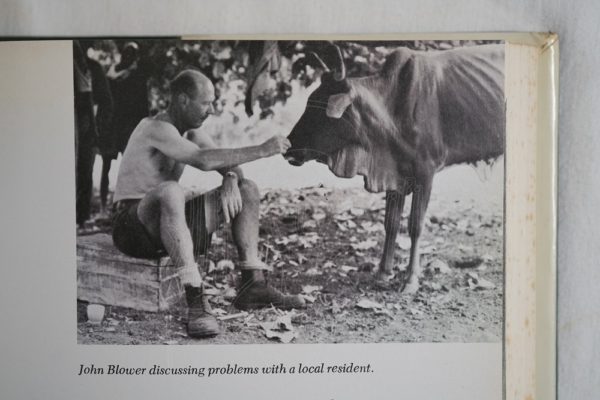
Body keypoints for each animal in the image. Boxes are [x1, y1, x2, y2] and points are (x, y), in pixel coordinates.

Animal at [284, 43, 504, 294]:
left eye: (321, 108)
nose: (289, 148)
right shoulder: (394, 174)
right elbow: (391, 223)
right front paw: (383, 272)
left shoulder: (425, 173)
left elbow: (415, 226)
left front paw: (411, 279)